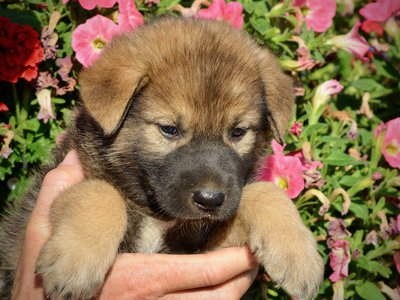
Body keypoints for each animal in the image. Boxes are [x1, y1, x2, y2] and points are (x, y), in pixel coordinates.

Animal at [0, 17, 324, 300]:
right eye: (169, 129)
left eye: (238, 132)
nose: (210, 200)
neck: (156, 214)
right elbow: (98, 191)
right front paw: (76, 261)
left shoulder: (199, 250)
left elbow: (265, 192)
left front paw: (299, 257)